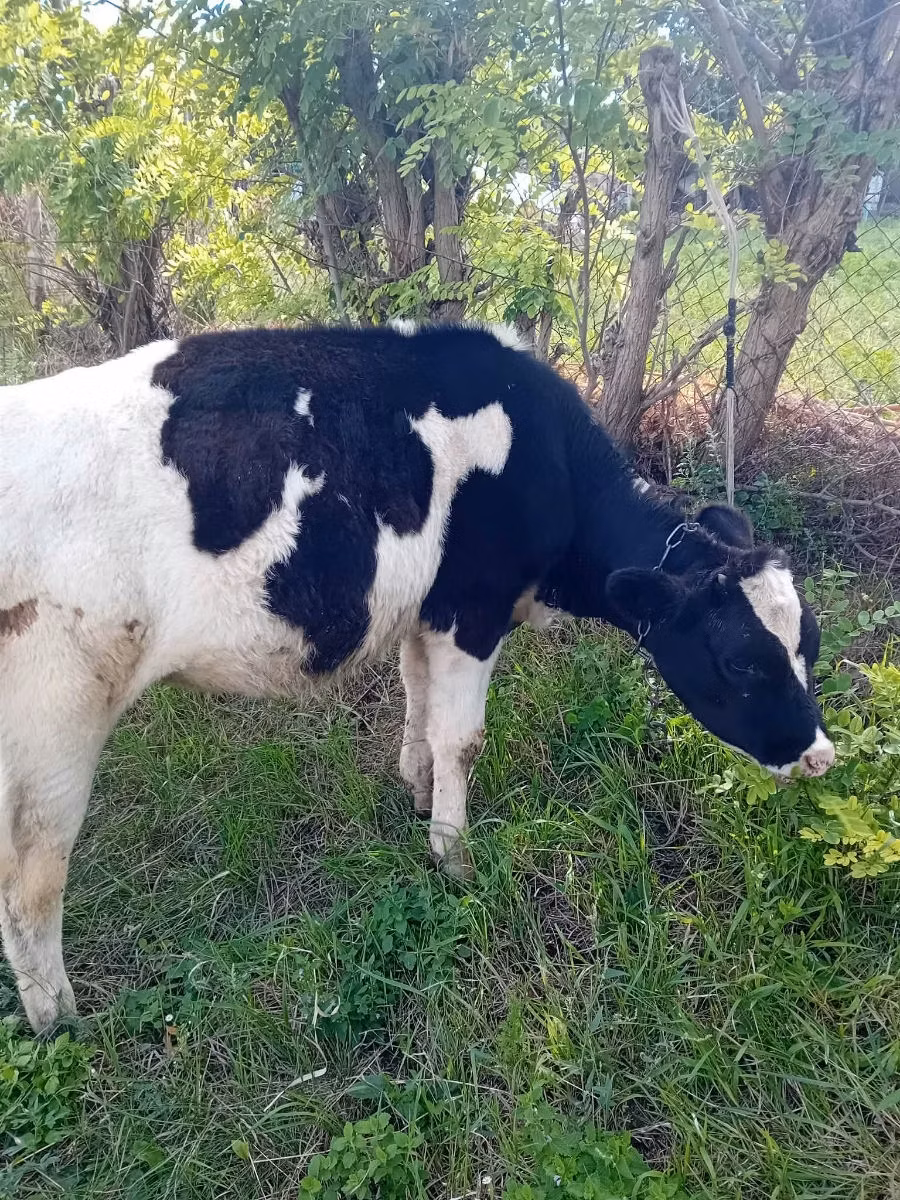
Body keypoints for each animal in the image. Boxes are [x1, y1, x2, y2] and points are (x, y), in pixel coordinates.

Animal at [0, 322, 834, 1033]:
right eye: (743, 661)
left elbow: (419, 705)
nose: (820, 755)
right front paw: (454, 855)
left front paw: (419, 793)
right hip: (54, 716)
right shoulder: (473, 608)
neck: (547, 456)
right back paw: (59, 1020)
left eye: (811, 644)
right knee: (31, 876)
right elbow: (461, 737)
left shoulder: (426, 612)